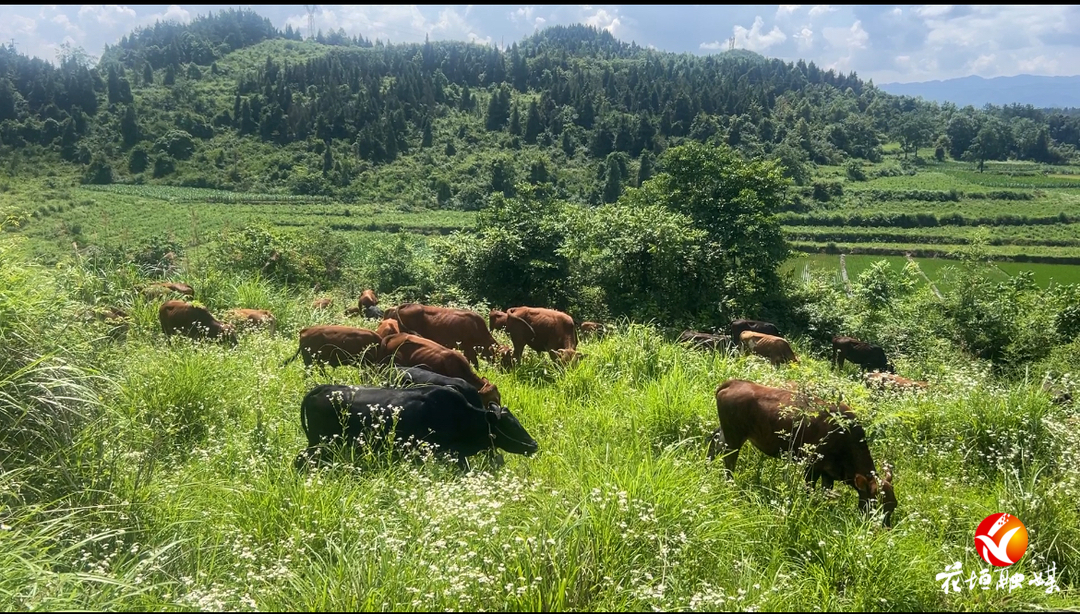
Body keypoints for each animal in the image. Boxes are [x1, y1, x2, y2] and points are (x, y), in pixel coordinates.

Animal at [704, 377, 898, 526]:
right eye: (876, 505)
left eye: (893, 505)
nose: (884, 529)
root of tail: (734, 382)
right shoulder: (812, 466)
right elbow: (809, 491)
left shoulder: (828, 473)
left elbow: (825, 494)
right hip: (734, 437)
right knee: (729, 461)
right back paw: (730, 485)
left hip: (726, 433)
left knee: (714, 445)